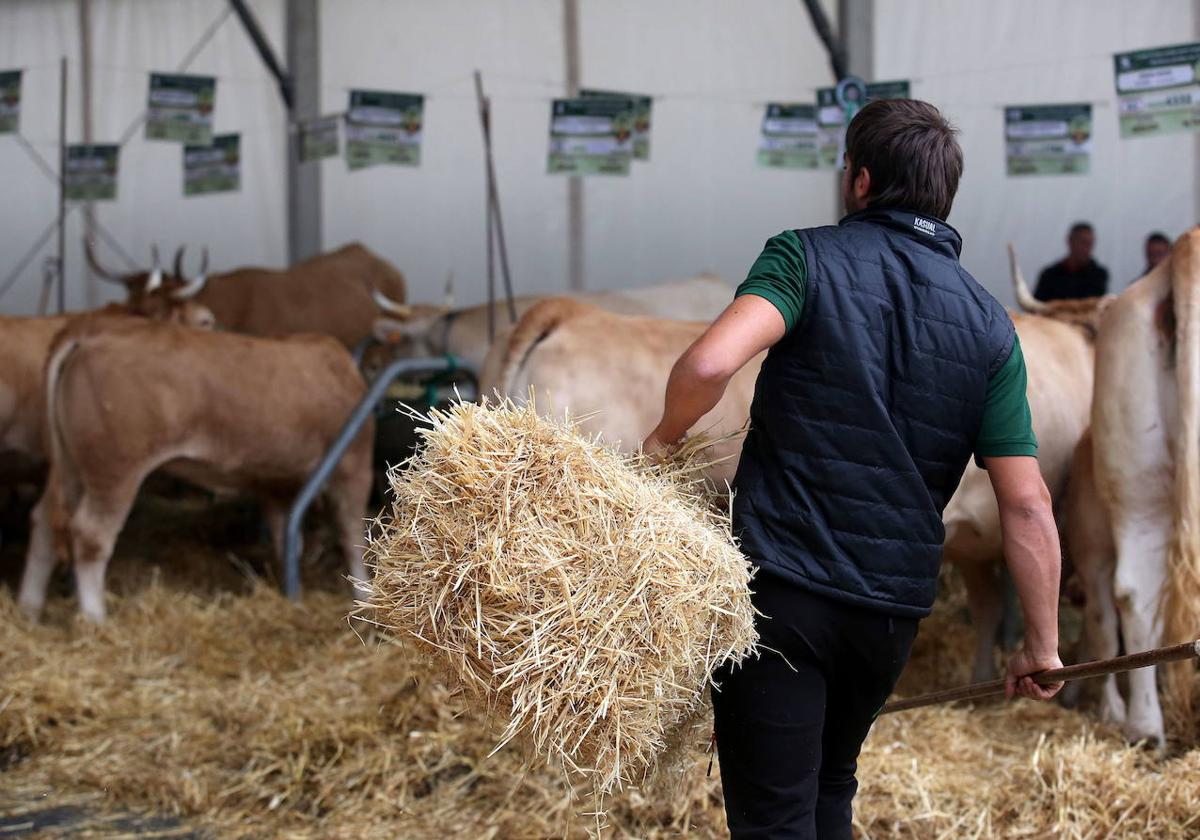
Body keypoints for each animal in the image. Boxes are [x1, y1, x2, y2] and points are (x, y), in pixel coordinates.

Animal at [14, 314, 369, 624]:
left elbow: (288, 540)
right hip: (114, 468)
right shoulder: (352, 466)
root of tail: (92, 327)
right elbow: (353, 534)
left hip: (71, 467)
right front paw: (364, 596)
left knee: (43, 521)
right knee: (91, 533)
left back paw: (29, 609)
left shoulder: (275, 483)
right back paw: (95, 618)